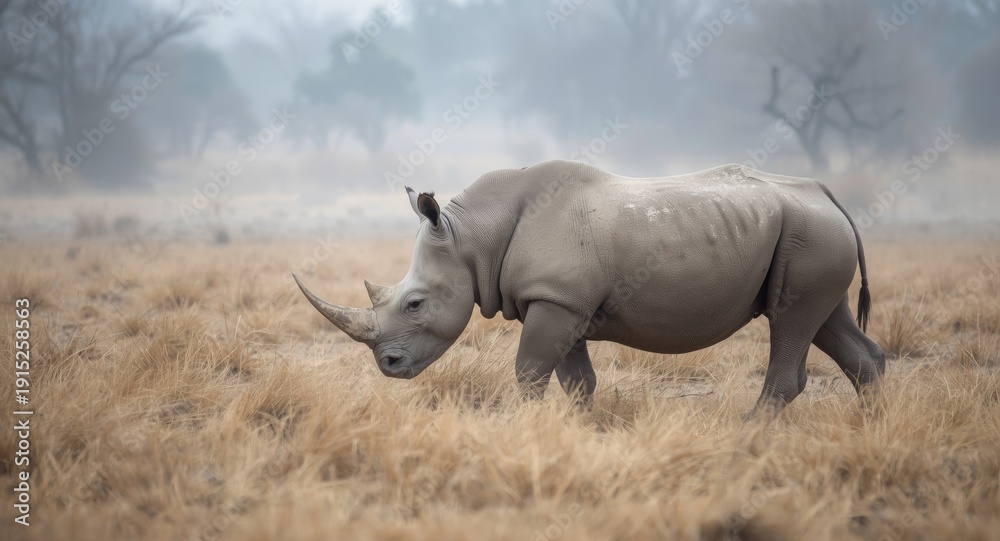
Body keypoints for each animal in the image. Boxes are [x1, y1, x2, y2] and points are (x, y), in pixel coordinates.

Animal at [294, 160, 885, 415]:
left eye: (415, 303)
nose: (388, 366)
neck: (473, 235)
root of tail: (827, 194)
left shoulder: (556, 299)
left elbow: (530, 370)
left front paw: (526, 426)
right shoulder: (562, 299)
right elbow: (576, 380)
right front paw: (578, 431)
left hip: (810, 235)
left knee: (793, 322)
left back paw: (750, 433)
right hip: (811, 236)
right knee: (824, 321)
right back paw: (873, 429)